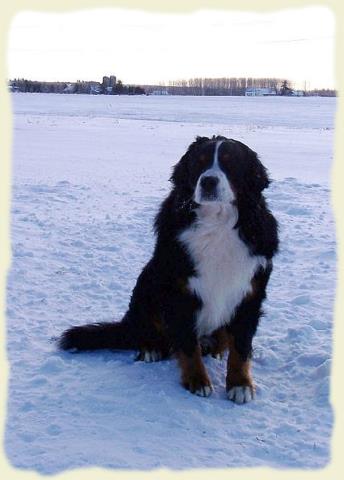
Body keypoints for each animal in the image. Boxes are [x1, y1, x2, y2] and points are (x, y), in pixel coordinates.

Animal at [59, 136, 280, 404]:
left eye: (231, 162)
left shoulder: (250, 293)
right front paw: (197, 380)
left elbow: (241, 346)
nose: (208, 181)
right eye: (199, 162)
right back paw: (151, 347)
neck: (216, 223)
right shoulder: (179, 291)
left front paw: (240, 385)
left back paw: (215, 347)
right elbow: (187, 344)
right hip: (147, 281)